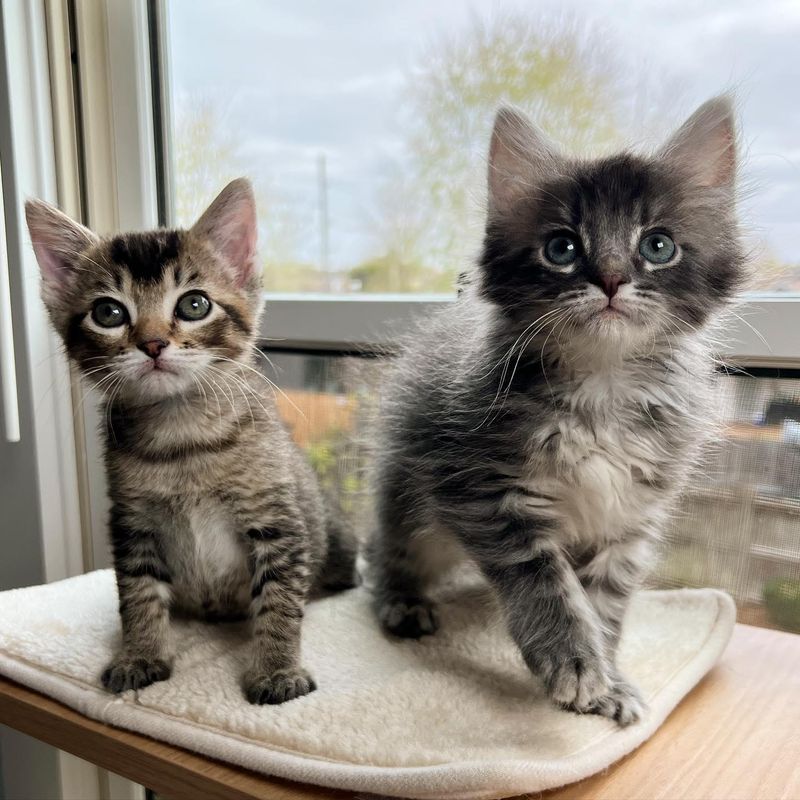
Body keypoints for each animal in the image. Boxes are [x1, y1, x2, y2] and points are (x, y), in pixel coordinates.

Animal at [26, 178, 356, 704]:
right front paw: (141, 654)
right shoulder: (132, 522)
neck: (182, 439)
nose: (153, 343)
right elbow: (137, 594)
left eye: (194, 304)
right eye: (108, 312)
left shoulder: (276, 518)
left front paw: (277, 669)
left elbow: (280, 598)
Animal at [366, 98, 748, 724]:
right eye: (562, 249)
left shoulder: (629, 516)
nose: (612, 280)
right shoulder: (483, 491)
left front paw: (609, 680)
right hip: (411, 497)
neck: (604, 385)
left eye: (658, 246)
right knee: (386, 549)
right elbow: (547, 586)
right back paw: (401, 603)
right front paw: (572, 662)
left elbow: (603, 604)